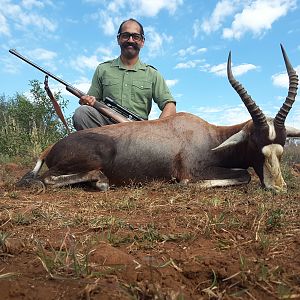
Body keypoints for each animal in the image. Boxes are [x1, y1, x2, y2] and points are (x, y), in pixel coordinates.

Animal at [17, 45, 298, 193]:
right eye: (256, 144)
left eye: (281, 147)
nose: (278, 187)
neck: (210, 135)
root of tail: (50, 147)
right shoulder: (192, 171)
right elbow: (243, 175)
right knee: (47, 178)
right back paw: (101, 181)